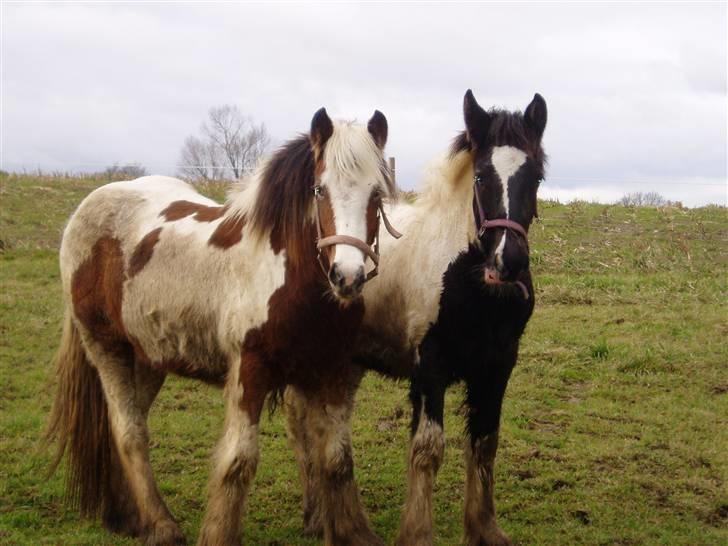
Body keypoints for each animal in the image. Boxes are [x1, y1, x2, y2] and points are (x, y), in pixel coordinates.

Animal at [48, 107, 398, 544]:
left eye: (377, 195)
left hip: (147, 357)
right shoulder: (250, 370)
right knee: (129, 432)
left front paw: (352, 532)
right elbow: (238, 461)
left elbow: (336, 458)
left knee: (126, 427)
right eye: (319, 190)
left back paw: (129, 518)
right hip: (105, 347)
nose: (347, 277)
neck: (290, 281)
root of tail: (86, 209)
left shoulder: (330, 371)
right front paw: (219, 533)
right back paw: (162, 525)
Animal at [288, 91, 548, 540]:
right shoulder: (430, 365)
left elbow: (485, 443)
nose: (508, 261)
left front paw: (483, 529)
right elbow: (428, 449)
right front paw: (416, 533)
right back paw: (318, 516)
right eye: (482, 178)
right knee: (304, 427)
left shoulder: (498, 366)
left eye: (535, 178)